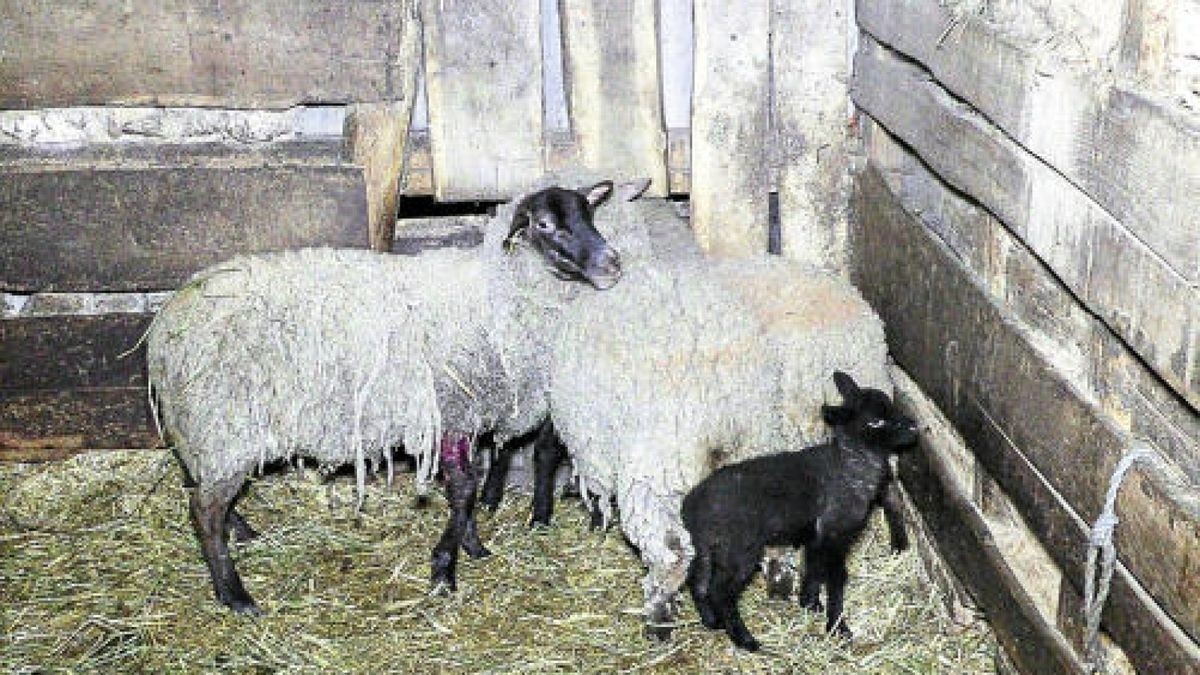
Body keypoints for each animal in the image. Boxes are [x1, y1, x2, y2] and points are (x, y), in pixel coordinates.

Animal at [686, 369, 916, 648]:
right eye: (875, 422)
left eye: (891, 405)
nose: (914, 427)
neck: (850, 464)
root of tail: (692, 506)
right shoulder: (836, 534)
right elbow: (836, 578)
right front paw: (838, 627)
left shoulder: (817, 535)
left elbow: (814, 567)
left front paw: (810, 602)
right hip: (738, 550)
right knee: (720, 592)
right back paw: (744, 639)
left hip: (708, 547)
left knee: (697, 580)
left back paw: (711, 621)